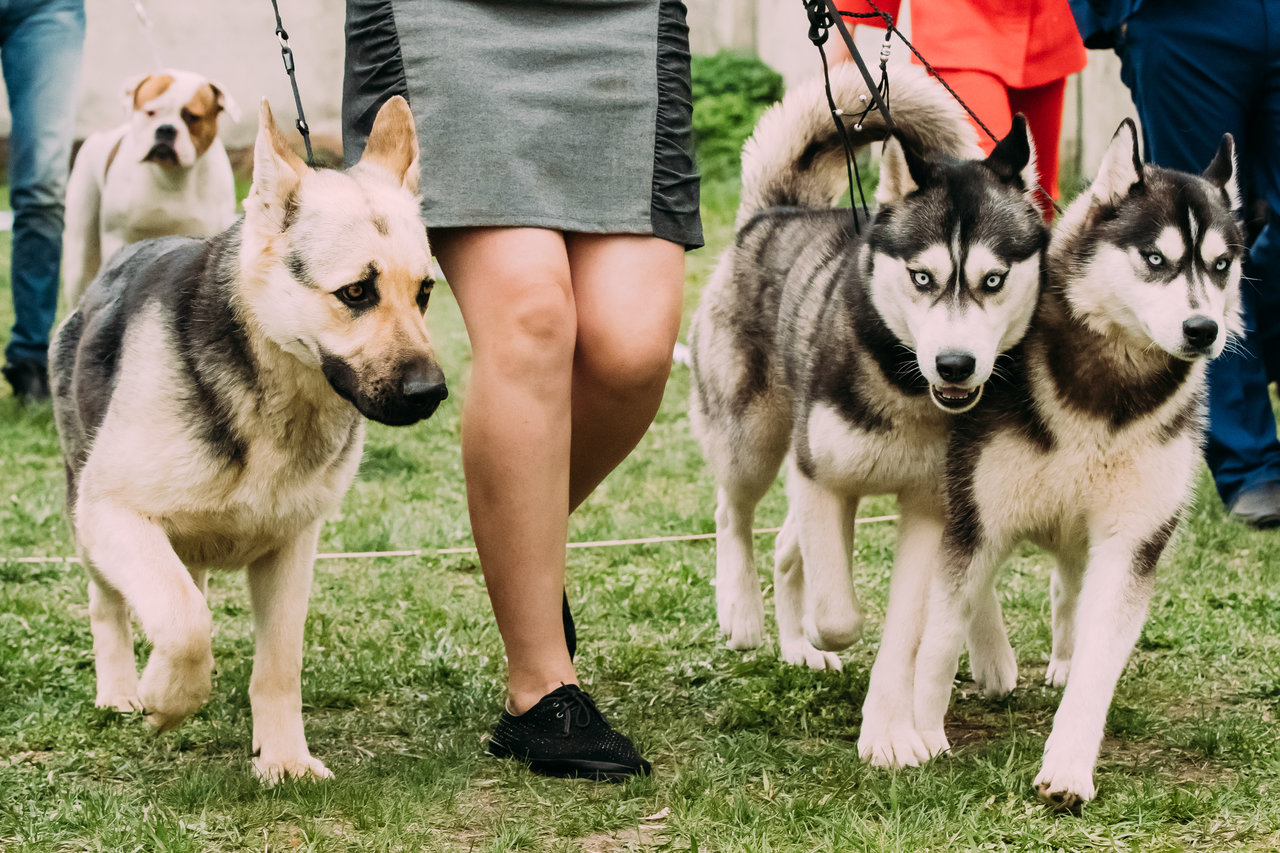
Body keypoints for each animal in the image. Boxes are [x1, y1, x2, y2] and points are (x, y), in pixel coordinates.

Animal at [49, 96, 448, 778]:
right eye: (356, 292)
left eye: (423, 292)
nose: (432, 392)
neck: (277, 388)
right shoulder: (114, 514)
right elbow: (184, 620)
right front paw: (166, 698)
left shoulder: (292, 548)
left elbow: (278, 663)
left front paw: (283, 758)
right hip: (90, 523)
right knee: (116, 605)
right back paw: (123, 690)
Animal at [691, 63, 1049, 758]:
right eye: (921, 277)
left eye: (993, 280)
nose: (956, 365)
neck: (906, 388)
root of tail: (779, 209)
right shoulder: (821, 479)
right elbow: (839, 614)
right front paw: (821, 630)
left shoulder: (930, 508)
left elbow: (904, 633)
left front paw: (888, 732)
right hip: (753, 437)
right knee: (734, 512)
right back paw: (745, 612)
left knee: (787, 543)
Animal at [916, 117, 1244, 804]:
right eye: (1155, 259)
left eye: (1221, 265)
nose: (1204, 329)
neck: (1109, 392)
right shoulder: (979, 518)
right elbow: (939, 631)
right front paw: (915, 731)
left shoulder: (1132, 541)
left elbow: (1100, 657)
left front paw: (1068, 764)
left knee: (1068, 586)